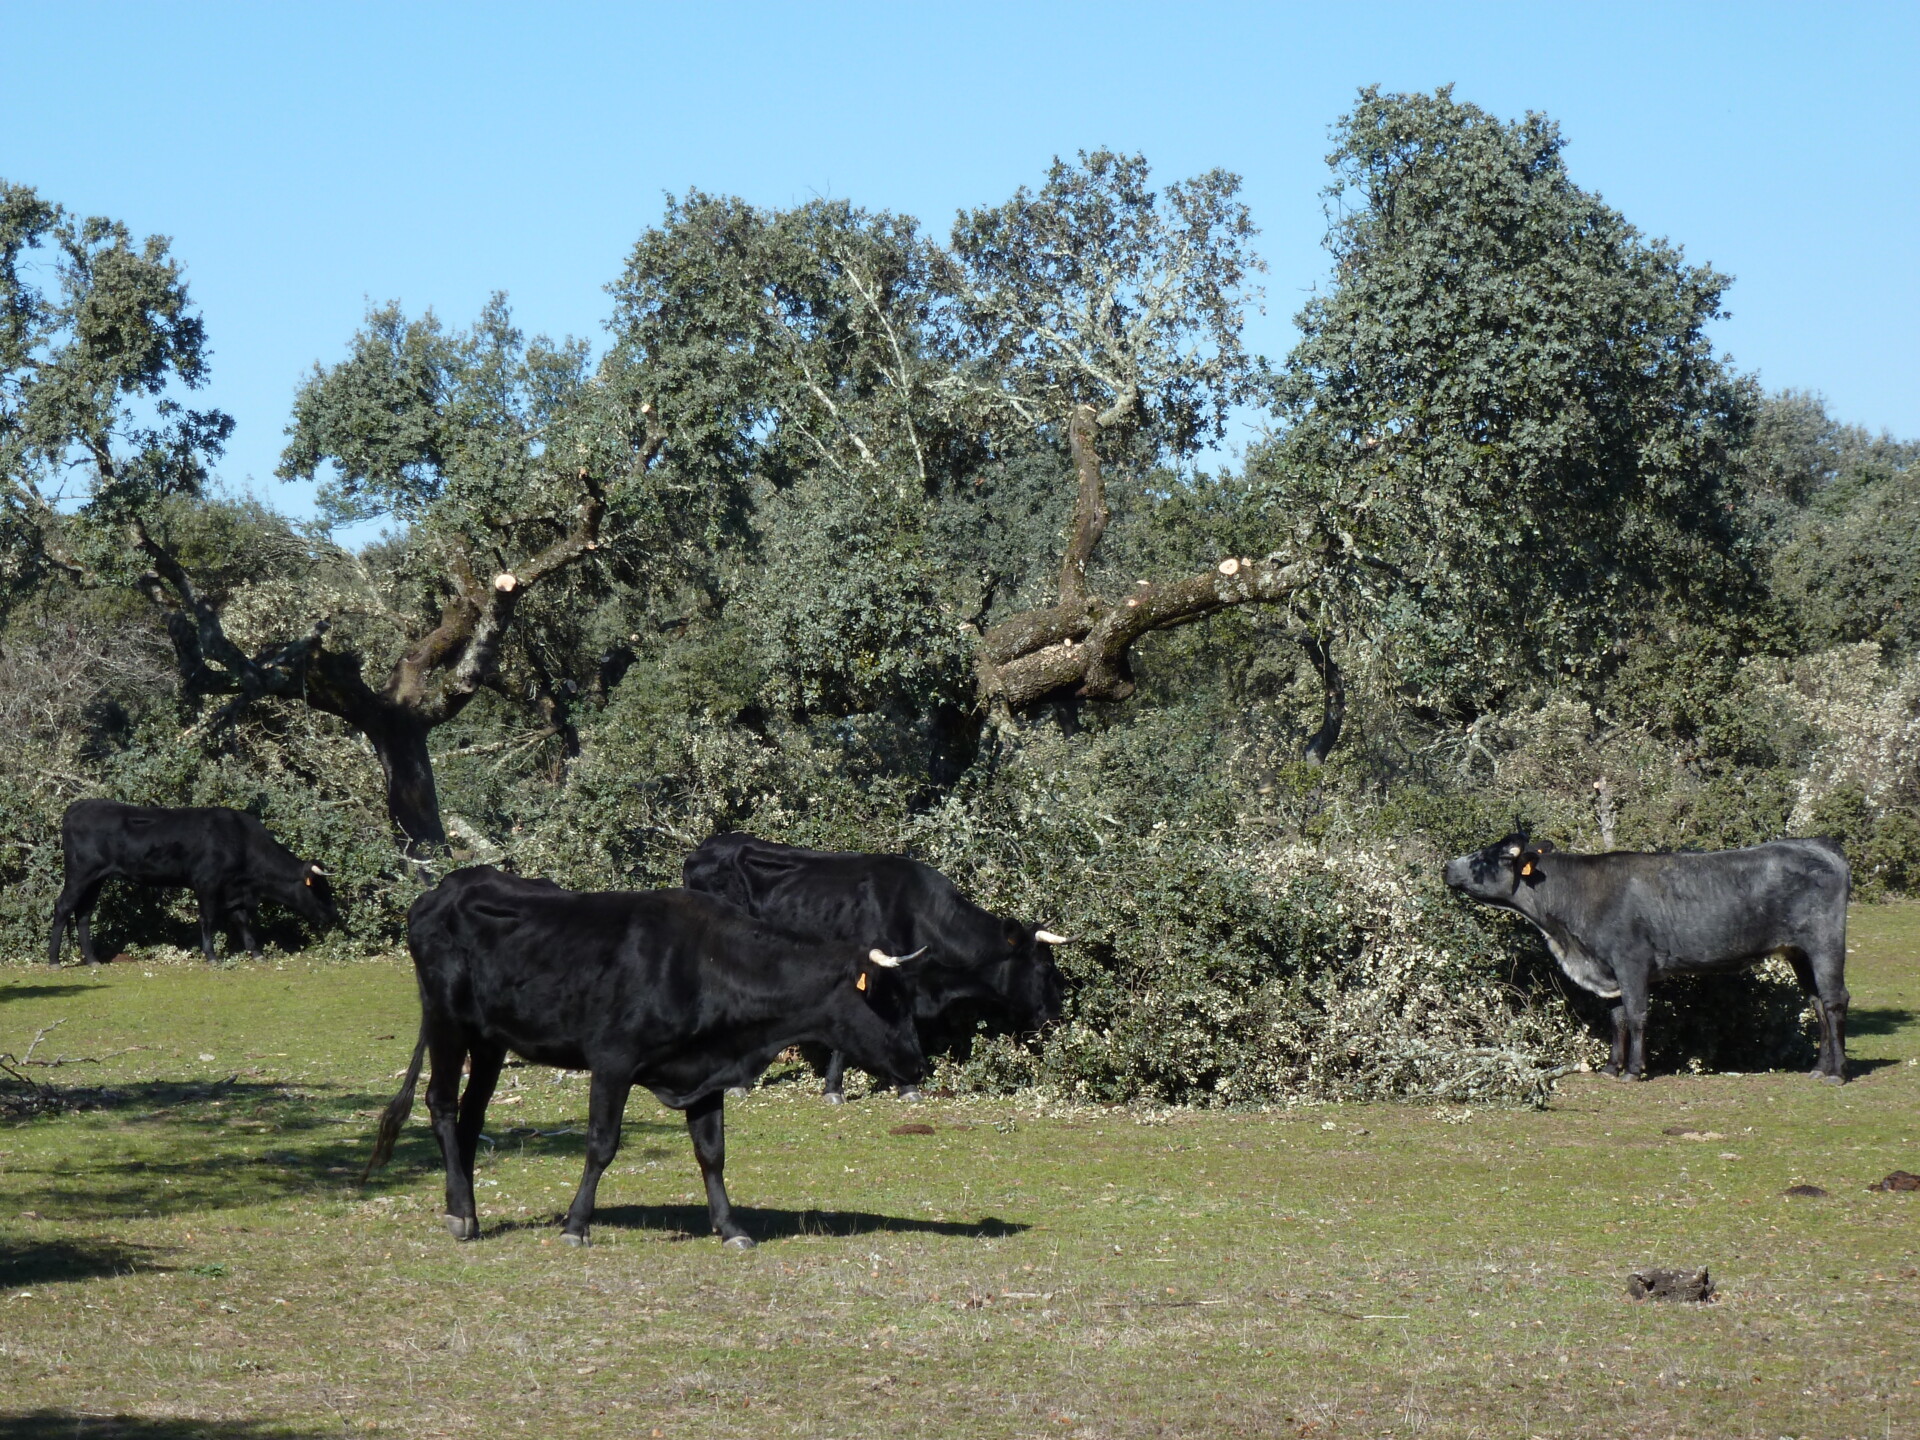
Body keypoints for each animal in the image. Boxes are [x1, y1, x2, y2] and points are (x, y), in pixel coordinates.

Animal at [48, 800, 337, 966]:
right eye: (319, 890)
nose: (333, 916)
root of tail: (79, 806)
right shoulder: (207, 883)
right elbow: (207, 919)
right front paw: (211, 956)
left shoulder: (232, 889)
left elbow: (242, 920)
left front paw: (256, 953)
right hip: (80, 873)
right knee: (63, 907)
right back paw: (54, 960)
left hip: (96, 879)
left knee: (83, 914)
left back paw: (93, 960)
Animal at [363, 866, 930, 1249]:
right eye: (887, 1001)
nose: (919, 1065)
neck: (703, 964)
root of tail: (444, 888)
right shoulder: (612, 1063)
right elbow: (601, 1146)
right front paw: (576, 1225)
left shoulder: (705, 1073)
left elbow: (712, 1153)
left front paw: (730, 1227)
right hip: (447, 1019)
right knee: (442, 1104)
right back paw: (460, 1214)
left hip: (490, 1039)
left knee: (472, 1115)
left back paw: (466, 1209)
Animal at [1443, 833, 1851, 1083]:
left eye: (1488, 857)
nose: (1447, 866)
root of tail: (1818, 845)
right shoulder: (1609, 970)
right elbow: (1617, 1018)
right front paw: (1611, 1067)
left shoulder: (1631, 961)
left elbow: (1637, 1015)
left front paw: (1634, 1070)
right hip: (1798, 952)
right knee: (1816, 1002)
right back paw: (1819, 1067)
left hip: (1824, 942)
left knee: (1834, 1001)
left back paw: (1838, 1072)